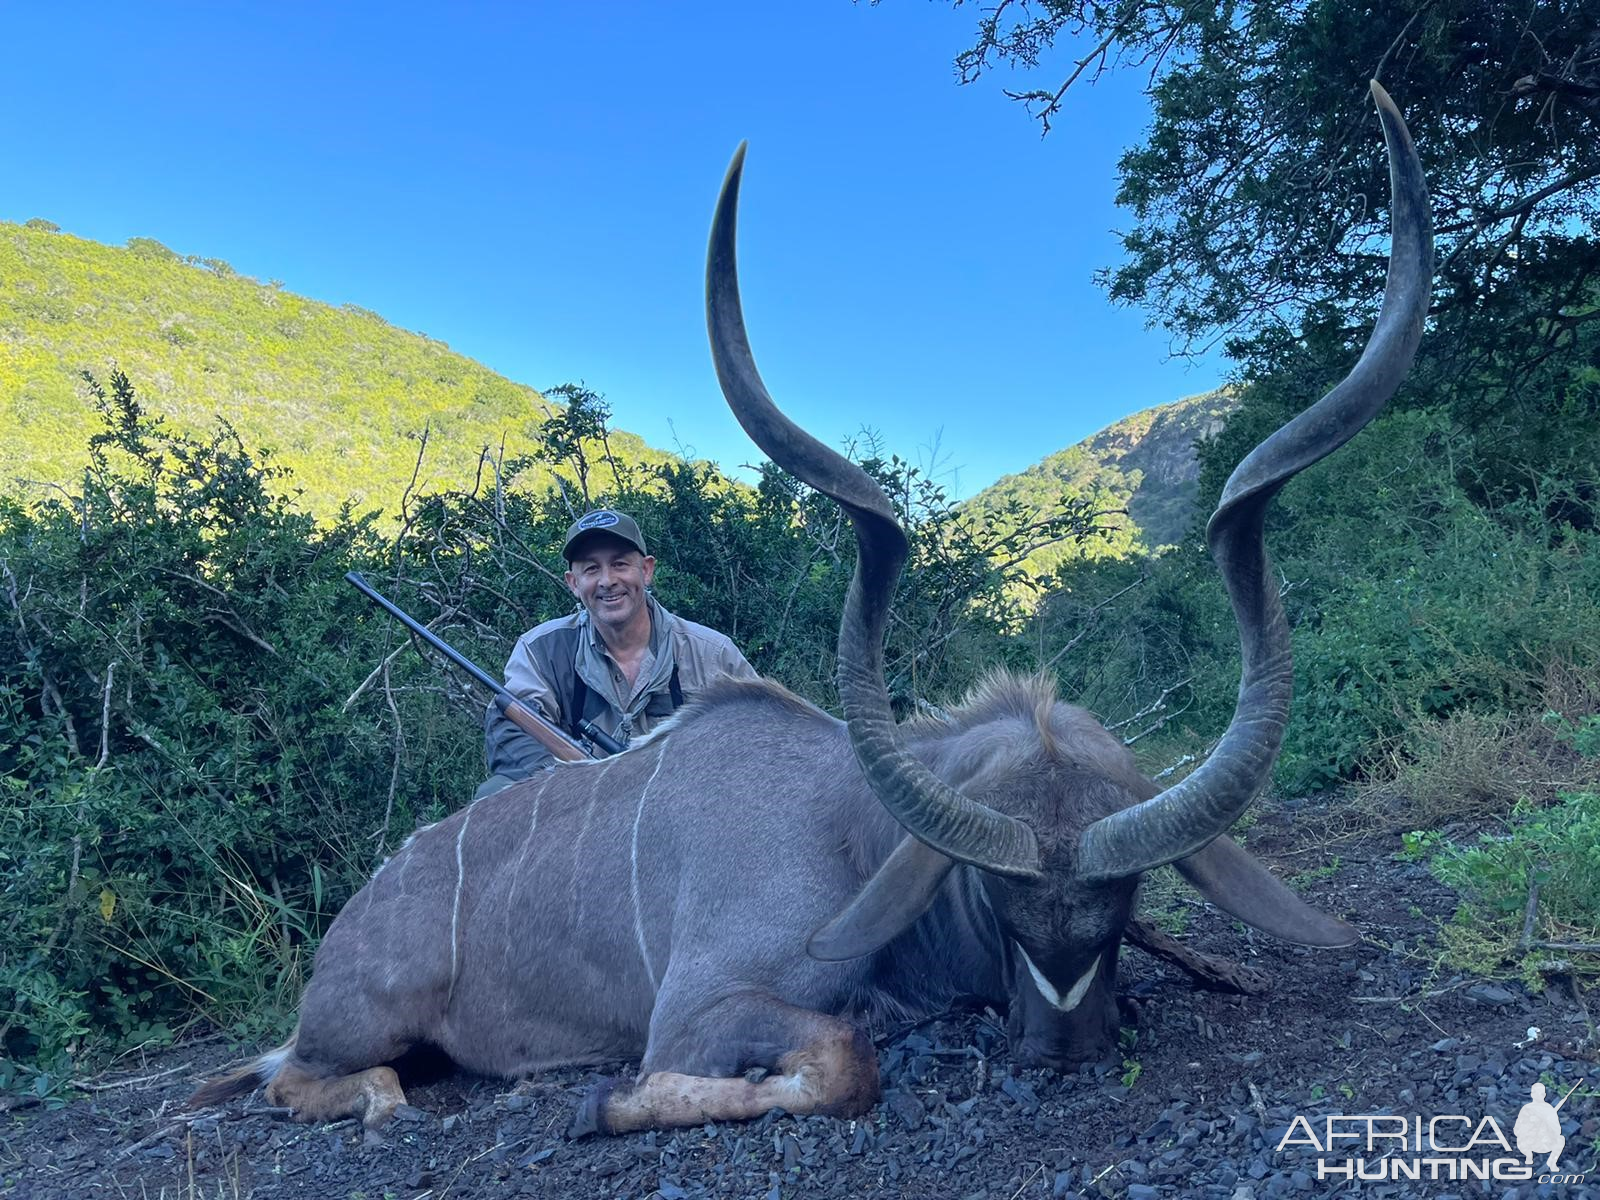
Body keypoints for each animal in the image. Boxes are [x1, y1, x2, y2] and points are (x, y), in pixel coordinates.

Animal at [193, 84, 1433, 1139]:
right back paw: (380, 1097)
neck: (853, 830)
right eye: (995, 898)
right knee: (317, 1077)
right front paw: (605, 1104)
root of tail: (350, 927)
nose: (1060, 1048)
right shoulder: (699, 1009)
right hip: (367, 1024)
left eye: (1124, 903)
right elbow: (840, 1059)